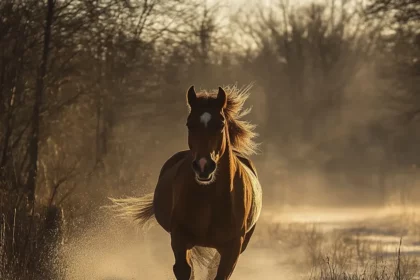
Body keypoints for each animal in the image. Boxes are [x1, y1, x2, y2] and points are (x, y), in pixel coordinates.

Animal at [111, 85, 262, 280]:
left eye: (221, 124)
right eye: (190, 124)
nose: (203, 166)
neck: (210, 198)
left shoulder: (233, 247)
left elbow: (218, 272)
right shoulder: (180, 237)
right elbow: (184, 270)